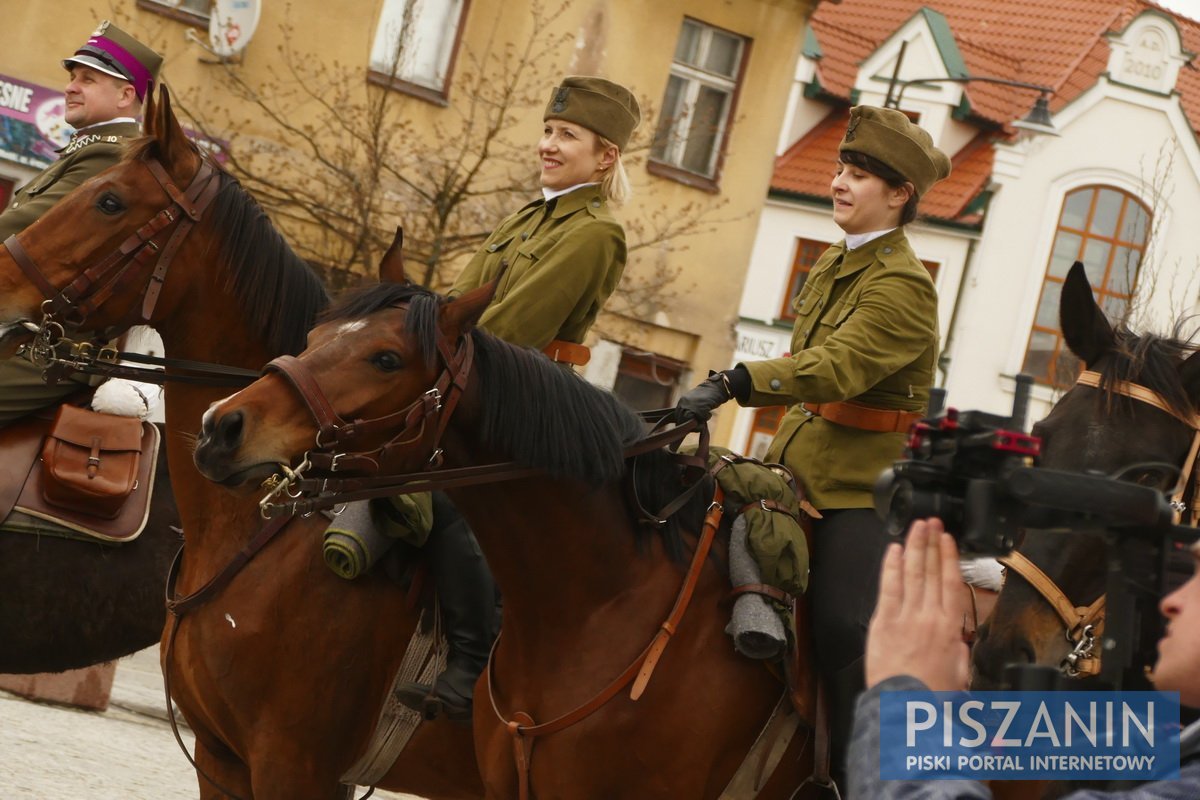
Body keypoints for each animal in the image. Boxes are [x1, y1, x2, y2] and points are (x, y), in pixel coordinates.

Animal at [192, 277, 820, 800]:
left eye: (387, 358)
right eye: (313, 337)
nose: (221, 427)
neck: (601, 606)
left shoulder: (294, 766)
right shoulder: (223, 761)